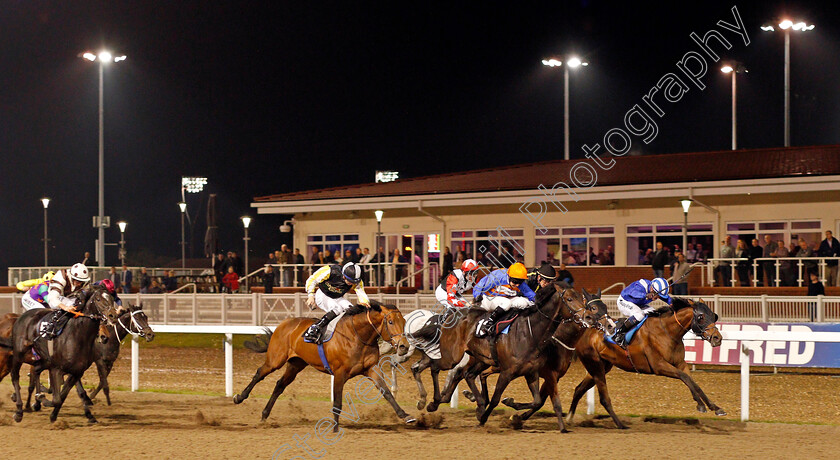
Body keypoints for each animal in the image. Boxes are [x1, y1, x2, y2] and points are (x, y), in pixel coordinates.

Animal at [0, 284, 119, 424]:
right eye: (99, 299)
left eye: (112, 299)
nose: (113, 316)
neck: (77, 336)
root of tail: (20, 318)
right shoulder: (56, 368)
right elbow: (56, 398)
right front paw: (41, 400)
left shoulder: (77, 371)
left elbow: (65, 395)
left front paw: (52, 412)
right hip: (18, 356)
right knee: (15, 377)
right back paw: (19, 410)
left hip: (39, 360)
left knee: (35, 372)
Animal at [231, 302, 416, 432]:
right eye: (390, 322)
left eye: (404, 321)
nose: (404, 346)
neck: (358, 336)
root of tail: (284, 323)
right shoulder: (340, 373)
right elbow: (337, 402)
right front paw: (334, 429)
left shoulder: (371, 369)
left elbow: (386, 392)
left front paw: (406, 416)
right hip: (275, 359)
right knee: (259, 373)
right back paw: (239, 397)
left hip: (296, 364)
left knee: (279, 385)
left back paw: (264, 414)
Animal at [568, 296, 724, 430]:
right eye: (701, 317)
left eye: (714, 315)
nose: (717, 338)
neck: (667, 332)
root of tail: (584, 331)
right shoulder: (659, 366)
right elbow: (685, 377)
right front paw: (702, 405)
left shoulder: (680, 364)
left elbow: (692, 382)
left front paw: (714, 407)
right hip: (595, 366)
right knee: (603, 398)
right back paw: (620, 424)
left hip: (600, 367)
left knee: (579, 389)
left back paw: (569, 418)